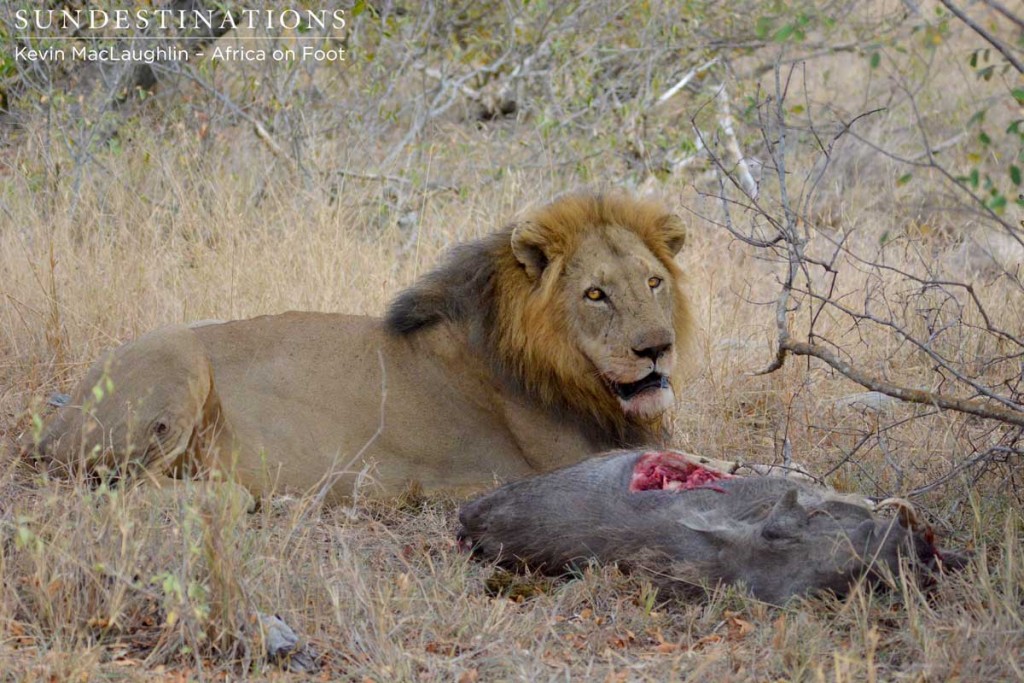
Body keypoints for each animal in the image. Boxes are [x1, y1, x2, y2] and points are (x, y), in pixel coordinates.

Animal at [32, 191, 692, 501]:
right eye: (595, 294)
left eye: (653, 283)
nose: (657, 348)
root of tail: (55, 424)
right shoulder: (567, 461)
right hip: (176, 352)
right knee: (126, 487)